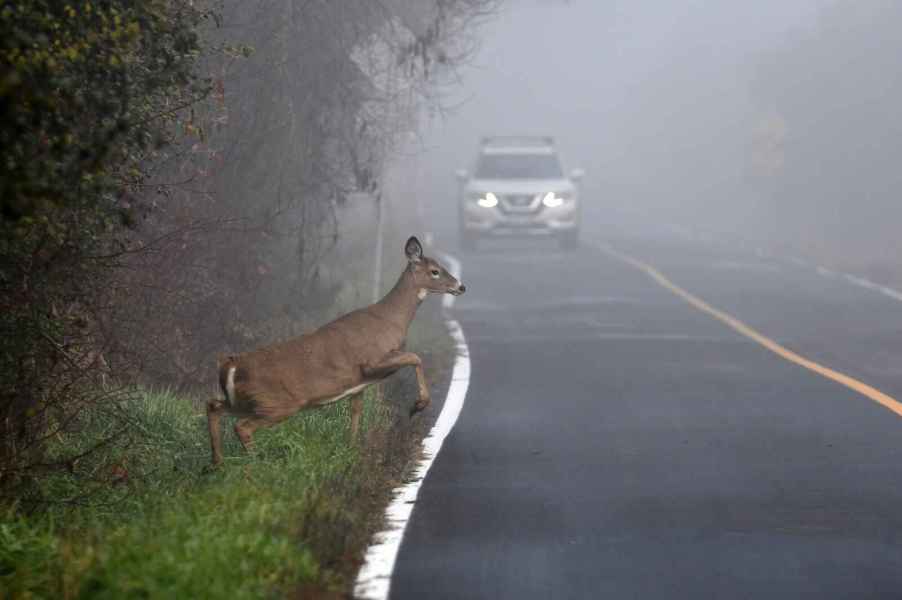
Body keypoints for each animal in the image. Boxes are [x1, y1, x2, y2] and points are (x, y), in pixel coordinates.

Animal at [207, 237, 466, 466]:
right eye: (435, 271)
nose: (461, 286)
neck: (392, 320)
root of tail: (231, 365)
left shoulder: (359, 384)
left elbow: (356, 411)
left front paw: (351, 450)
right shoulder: (370, 361)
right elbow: (415, 357)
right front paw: (418, 405)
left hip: (246, 402)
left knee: (214, 406)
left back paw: (217, 464)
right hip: (277, 403)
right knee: (242, 426)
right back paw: (256, 466)